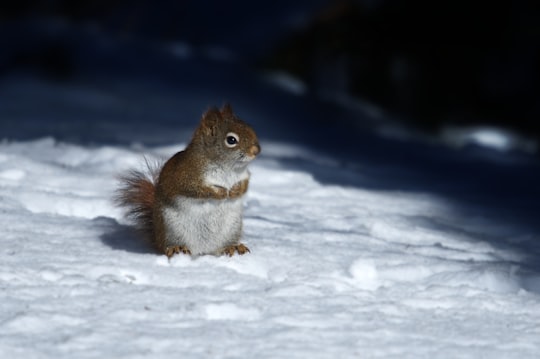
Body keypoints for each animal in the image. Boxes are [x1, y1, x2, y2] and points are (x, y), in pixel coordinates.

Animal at [116, 104, 262, 258]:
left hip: (232, 228)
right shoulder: (186, 175)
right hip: (171, 229)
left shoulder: (244, 175)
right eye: (231, 140)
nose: (256, 150)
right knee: (167, 246)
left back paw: (232, 247)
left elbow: (245, 185)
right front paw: (220, 193)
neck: (229, 167)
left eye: (249, 127)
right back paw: (177, 248)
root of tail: (202, 250)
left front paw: (235, 191)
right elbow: (197, 189)